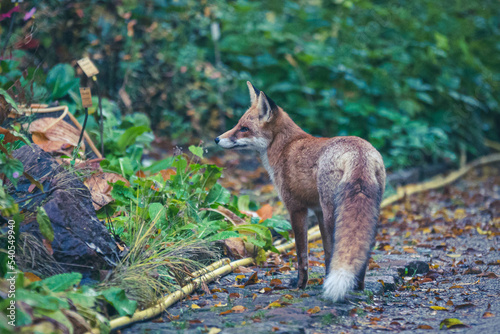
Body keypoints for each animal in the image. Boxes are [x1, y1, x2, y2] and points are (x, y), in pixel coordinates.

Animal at [215, 82, 386, 302]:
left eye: (244, 129)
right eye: (237, 124)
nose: (217, 139)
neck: (285, 147)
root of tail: (359, 152)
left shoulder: (296, 208)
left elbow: (301, 254)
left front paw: (300, 284)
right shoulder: (318, 211)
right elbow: (328, 252)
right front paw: (325, 278)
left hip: (333, 213)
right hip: (366, 212)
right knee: (362, 250)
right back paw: (358, 287)